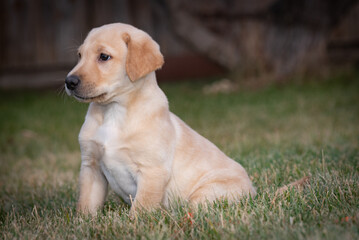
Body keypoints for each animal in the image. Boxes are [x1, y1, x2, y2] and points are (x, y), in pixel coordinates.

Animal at [64, 22, 256, 214]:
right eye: (80, 55)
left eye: (104, 57)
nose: (69, 82)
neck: (112, 111)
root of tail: (253, 189)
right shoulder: (91, 166)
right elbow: (86, 204)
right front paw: (83, 220)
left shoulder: (152, 171)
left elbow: (141, 208)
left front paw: (133, 221)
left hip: (205, 194)